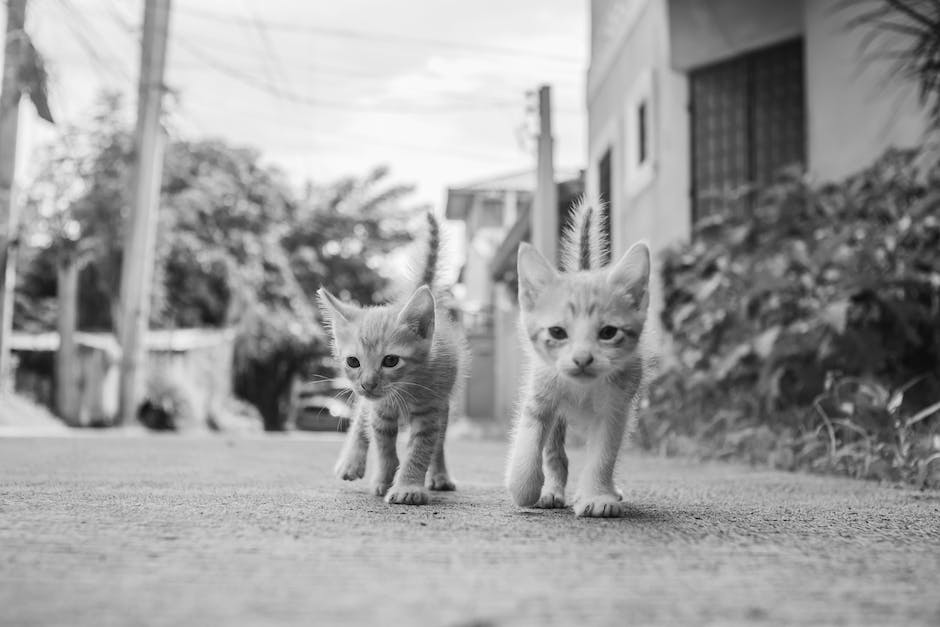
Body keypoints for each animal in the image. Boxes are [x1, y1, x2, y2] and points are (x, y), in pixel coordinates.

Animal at [318, 213, 468, 508]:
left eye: (390, 361)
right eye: (353, 362)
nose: (368, 384)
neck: (406, 390)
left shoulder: (431, 409)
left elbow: (421, 449)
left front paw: (408, 486)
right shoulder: (380, 411)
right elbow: (383, 446)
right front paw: (384, 478)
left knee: (440, 442)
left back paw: (439, 475)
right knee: (360, 420)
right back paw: (352, 462)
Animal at [504, 199, 648, 516]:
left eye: (608, 332)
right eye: (557, 332)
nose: (582, 359)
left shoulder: (616, 409)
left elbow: (603, 455)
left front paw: (597, 496)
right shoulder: (541, 393)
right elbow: (529, 438)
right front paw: (524, 487)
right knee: (556, 453)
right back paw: (551, 491)